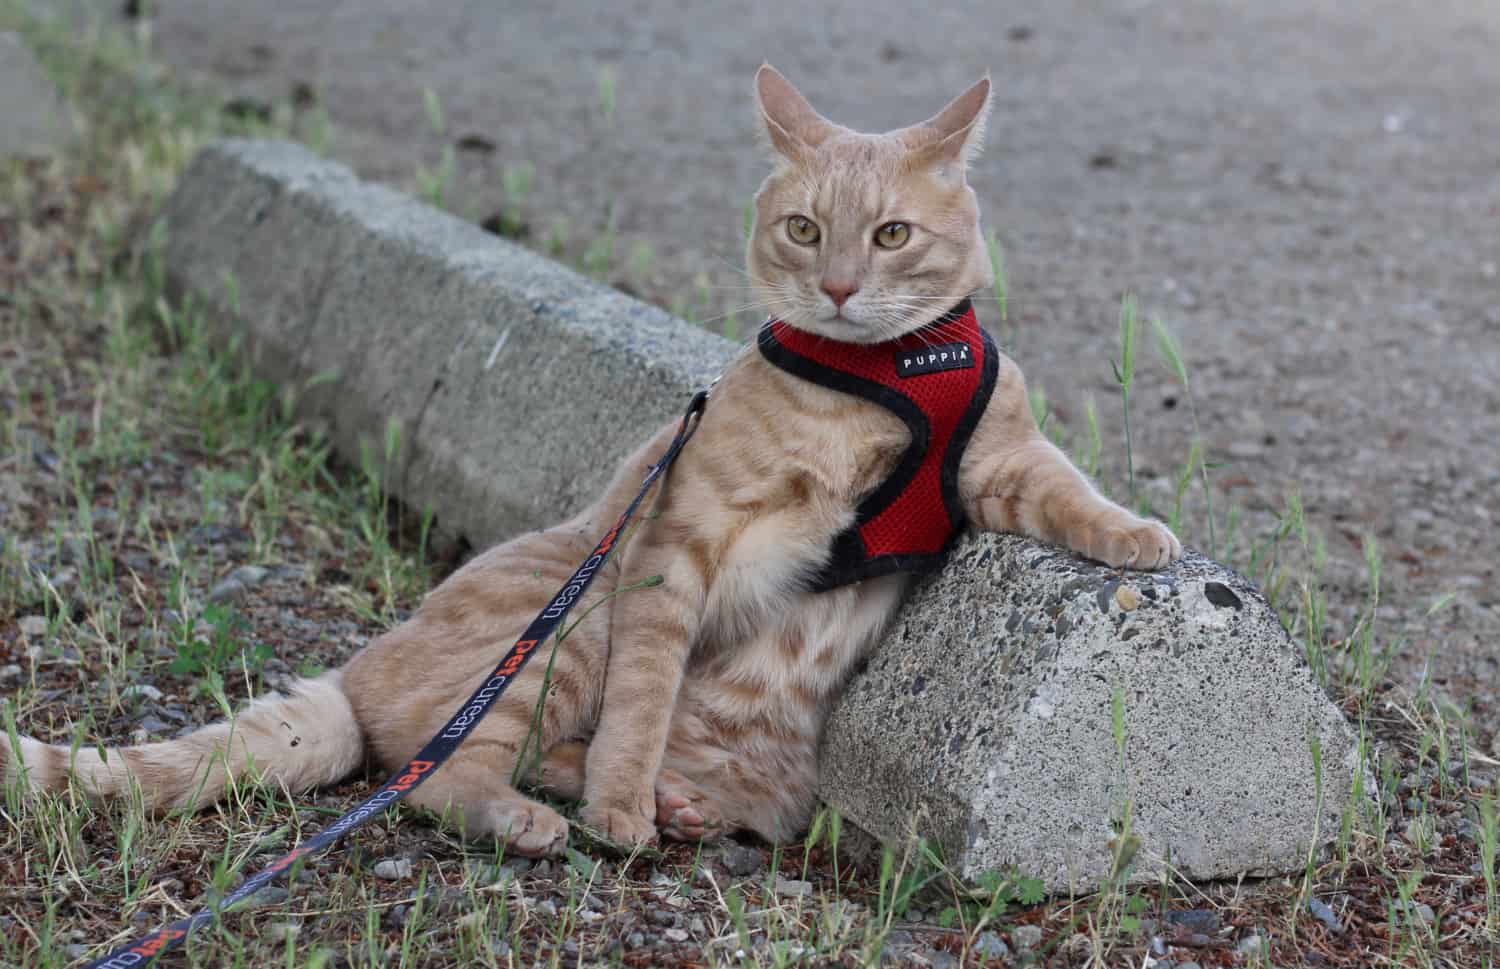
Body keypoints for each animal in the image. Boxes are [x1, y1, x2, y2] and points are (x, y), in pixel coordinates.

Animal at [2, 66, 1182, 858]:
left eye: (890, 237)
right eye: (804, 229)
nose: (841, 286)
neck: (874, 376)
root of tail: (357, 670)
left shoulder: (999, 457)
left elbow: (1072, 493)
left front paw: (1138, 541)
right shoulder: (678, 540)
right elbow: (643, 705)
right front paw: (622, 807)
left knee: (548, 756)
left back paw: (678, 803)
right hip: (570, 632)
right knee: (448, 769)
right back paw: (558, 816)